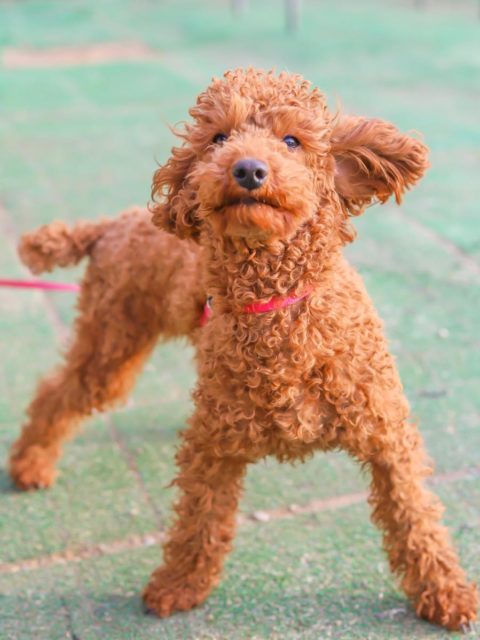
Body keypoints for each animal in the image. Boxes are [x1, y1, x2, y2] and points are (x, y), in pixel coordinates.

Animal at [9, 70, 478, 632]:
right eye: (218, 138)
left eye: (292, 140)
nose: (248, 168)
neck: (277, 304)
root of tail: (111, 225)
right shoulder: (212, 446)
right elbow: (199, 522)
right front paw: (178, 585)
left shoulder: (387, 435)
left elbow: (416, 520)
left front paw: (447, 592)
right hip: (112, 339)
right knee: (58, 393)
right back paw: (30, 463)